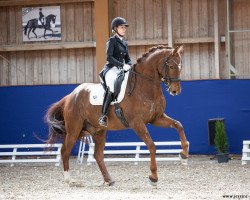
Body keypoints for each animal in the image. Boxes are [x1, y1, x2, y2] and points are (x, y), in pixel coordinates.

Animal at [46, 44, 188, 185]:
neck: (144, 87)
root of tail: (70, 96)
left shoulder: (156, 118)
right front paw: (153, 176)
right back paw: (69, 179)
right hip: (74, 130)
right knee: (65, 151)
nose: (175, 90)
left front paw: (184, 154)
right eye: (171, 66)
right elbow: (152, 146)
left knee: (97, 155)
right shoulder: (137, 123)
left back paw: (108, 180)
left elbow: (178, 125)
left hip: (98, 131)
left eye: (181, 66)